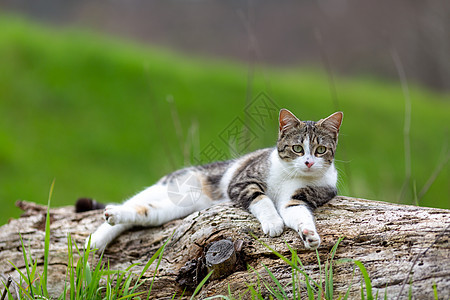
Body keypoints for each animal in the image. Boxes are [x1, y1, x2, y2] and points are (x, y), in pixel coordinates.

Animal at [87, 109, 342, 252]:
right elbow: (261, 199)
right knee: (132, 202)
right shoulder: (242, 182)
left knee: (144, 212)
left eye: (320, 150)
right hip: (172, 185)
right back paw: (100, 230)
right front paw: (273, 222)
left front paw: (309, 235)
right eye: (297, 148)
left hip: (176, 207)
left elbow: (297, 211)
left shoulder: (301, 196)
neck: (292, 176)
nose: (308, 162)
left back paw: (110, 224)